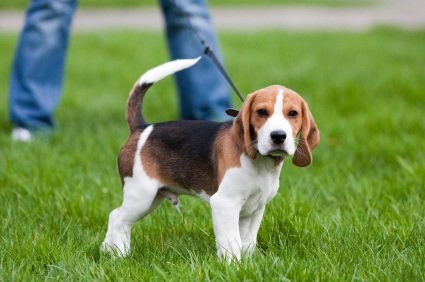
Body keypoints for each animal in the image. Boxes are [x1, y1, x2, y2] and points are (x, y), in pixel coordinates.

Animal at [100, 57, 318, 262]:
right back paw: (120, 255)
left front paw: (248, 264)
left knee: (115, 215)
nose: (278, 136)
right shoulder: (225, 204)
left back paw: (107, 250)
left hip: (154, 196)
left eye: (293, 113)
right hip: (141, 194)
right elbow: (231, 241)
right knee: (119, 219)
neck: (261, 163)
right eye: (261, 112)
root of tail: (142, 127)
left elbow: (247, 242)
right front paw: (233, 266)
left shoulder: (254, 209)